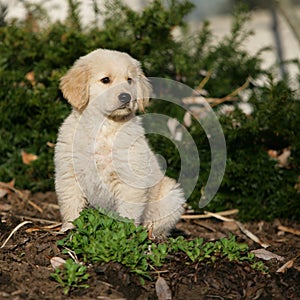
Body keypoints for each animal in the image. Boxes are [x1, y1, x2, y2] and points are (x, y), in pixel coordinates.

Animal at [54, 48, 185, 237]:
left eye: (129, 80)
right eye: (105, 80)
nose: (126, 97)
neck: (104, 126)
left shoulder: (130, 181)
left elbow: (128, 213)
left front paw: (124, 233)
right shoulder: (69, 174)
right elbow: (71, 204)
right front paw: (69, 228)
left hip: (172, 195)